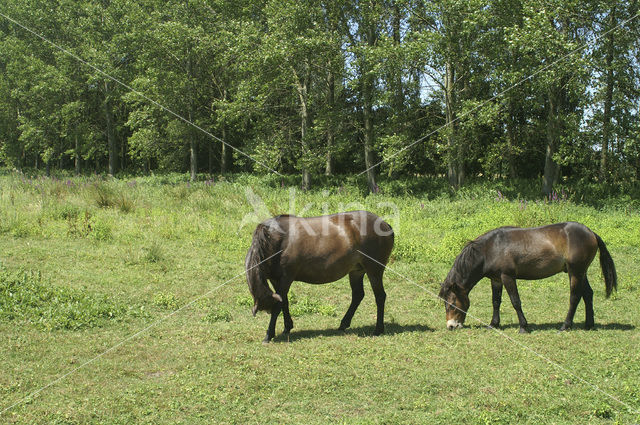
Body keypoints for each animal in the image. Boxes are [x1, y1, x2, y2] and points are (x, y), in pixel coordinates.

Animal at [245, 211, 396, 342]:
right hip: (356, 271)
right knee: (358, 295)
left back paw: (378, 329)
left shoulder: (286, 278)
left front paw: (269, 334)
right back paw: (344, 324)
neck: (276, 239)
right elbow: (284, 302)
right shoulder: (276, 279)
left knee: (380, 296)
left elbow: (279, 305)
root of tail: (385, 224)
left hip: (374, 270)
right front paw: (287, 327)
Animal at [440, 220, 616, 332]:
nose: (451, 326)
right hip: (581, 272)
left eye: (452, 304)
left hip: (575, 272)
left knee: (575, 297)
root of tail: (591, 233)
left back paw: (565, 326)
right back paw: (589, 324)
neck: (490, 249)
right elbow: (496, 302)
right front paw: (493, 324)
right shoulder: (496, 279)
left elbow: (515, 301)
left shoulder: (507, 277)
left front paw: (523, 327)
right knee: (588, 294)